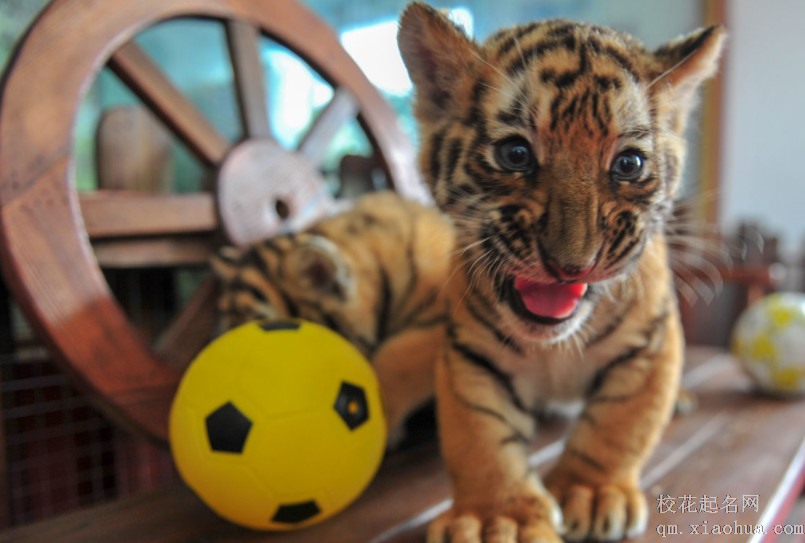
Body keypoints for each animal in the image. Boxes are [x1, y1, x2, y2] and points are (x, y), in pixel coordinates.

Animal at [397, 3, 725, 542]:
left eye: (629, 164)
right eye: (515, 154)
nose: (572, 263)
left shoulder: (651, 343)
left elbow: (621, 423)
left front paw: (589, 492)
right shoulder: (469, 353)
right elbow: (477, 434)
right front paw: (498, 517)